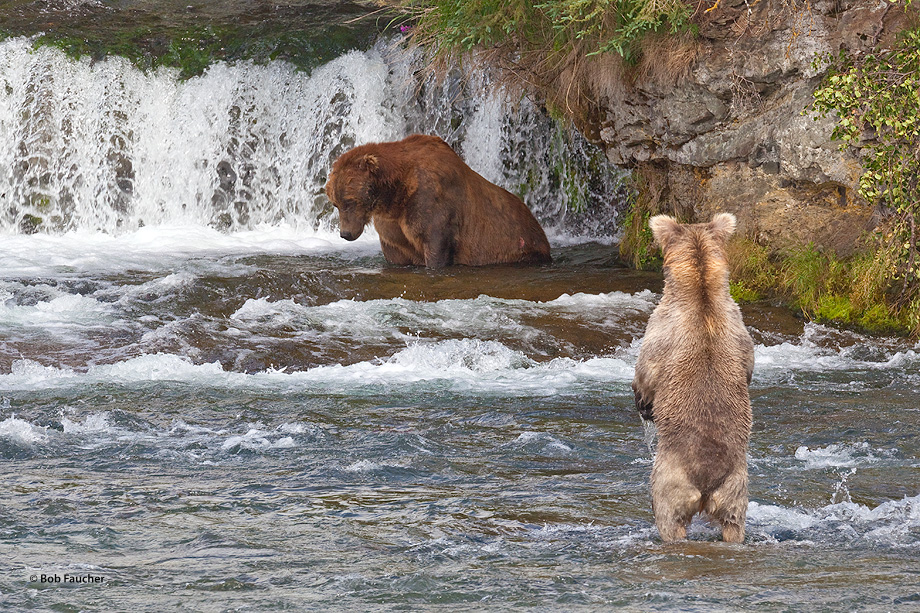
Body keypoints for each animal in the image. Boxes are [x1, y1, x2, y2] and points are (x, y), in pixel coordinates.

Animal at [326, 133, 548, 266]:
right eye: (336, 203)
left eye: (350, 201)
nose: (345, 233)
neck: (394, 196)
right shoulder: (391, 227)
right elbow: (396, 253)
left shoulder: (430, 200)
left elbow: (435, 244)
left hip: (518, 245)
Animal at [632, 213, 756, 544]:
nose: (644, 408)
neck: (701, 290)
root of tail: (706, 487)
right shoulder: (740, 330)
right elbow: (748, 365)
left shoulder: (662, 329)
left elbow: (646, 369)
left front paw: (642, 399)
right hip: (737, 486)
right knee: (735, 522)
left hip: (669, 477)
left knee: (666, 513)